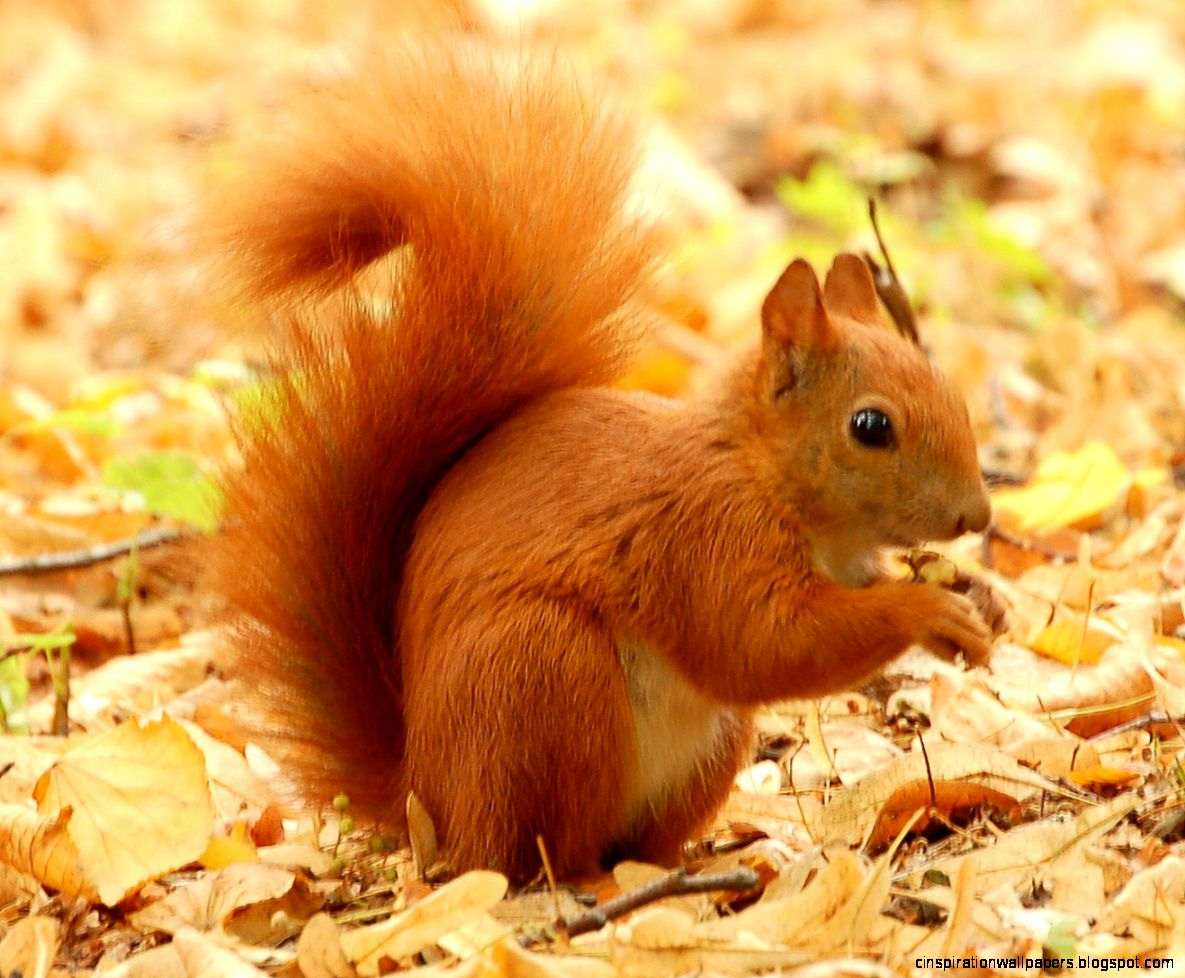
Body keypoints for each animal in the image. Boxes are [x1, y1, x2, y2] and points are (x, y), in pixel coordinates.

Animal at [203, 39, 994, 882]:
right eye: (870, 426)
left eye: (946, 386)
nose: (977, 515)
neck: (765, 476)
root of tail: (429, 802)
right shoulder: (706, 540)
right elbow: (764, 643)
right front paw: (924, 610)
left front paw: (979, 598)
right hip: (545, 678)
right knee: (537, 850)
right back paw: (590, 878)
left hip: (702, 744)